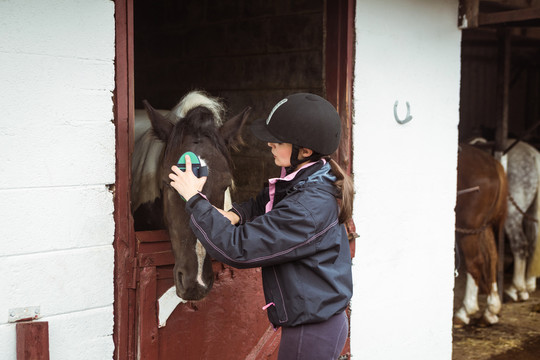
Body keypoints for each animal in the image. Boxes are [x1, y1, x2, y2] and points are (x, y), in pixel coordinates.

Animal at [454, 143, 508, 326]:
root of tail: (493, 165)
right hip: (483, 227)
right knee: (492, 257)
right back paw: (491, 310)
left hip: (468, 229)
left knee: (475, 262)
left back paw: (465, 311)